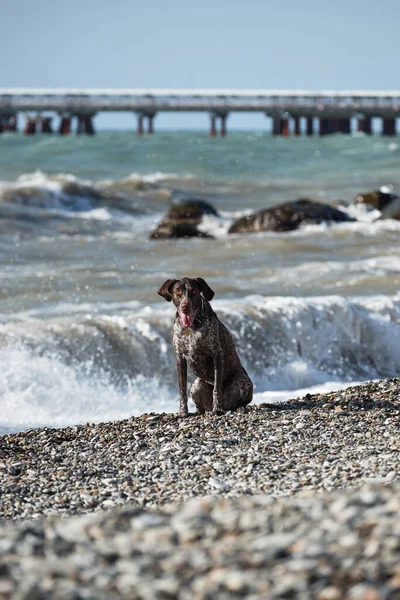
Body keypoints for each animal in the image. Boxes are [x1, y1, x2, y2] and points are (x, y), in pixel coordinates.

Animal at [157, 276, 253, 418]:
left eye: (194, 291)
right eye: (178, 292)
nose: (185, 307)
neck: (191, 327)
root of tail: (228, 405)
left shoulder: (216, 355)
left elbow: (217, 389)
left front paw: (217, 409)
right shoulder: (180, 359)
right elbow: (182, 391)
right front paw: (182, 412)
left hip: (241, 378)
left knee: (241, 402)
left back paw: (238, 408)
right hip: (196, 385)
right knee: (200, 407)